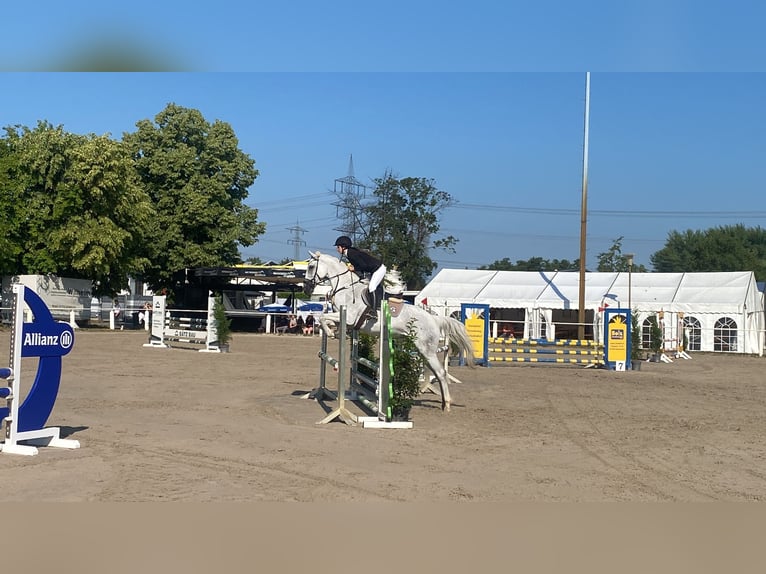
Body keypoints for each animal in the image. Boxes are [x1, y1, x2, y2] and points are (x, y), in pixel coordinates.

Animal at [304, 250, 474, 412]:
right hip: (422, 351)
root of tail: (434, 318)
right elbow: (326, 320)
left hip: (427, 350)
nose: (306, 289)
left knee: (441, 373)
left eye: (311, 267)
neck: (345, 289)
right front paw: (336, 333)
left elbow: (323, 318)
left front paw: (331, 333)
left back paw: (447, 405)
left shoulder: (349, 317)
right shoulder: (345, 320)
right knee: (437, 373)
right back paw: (443, 402)